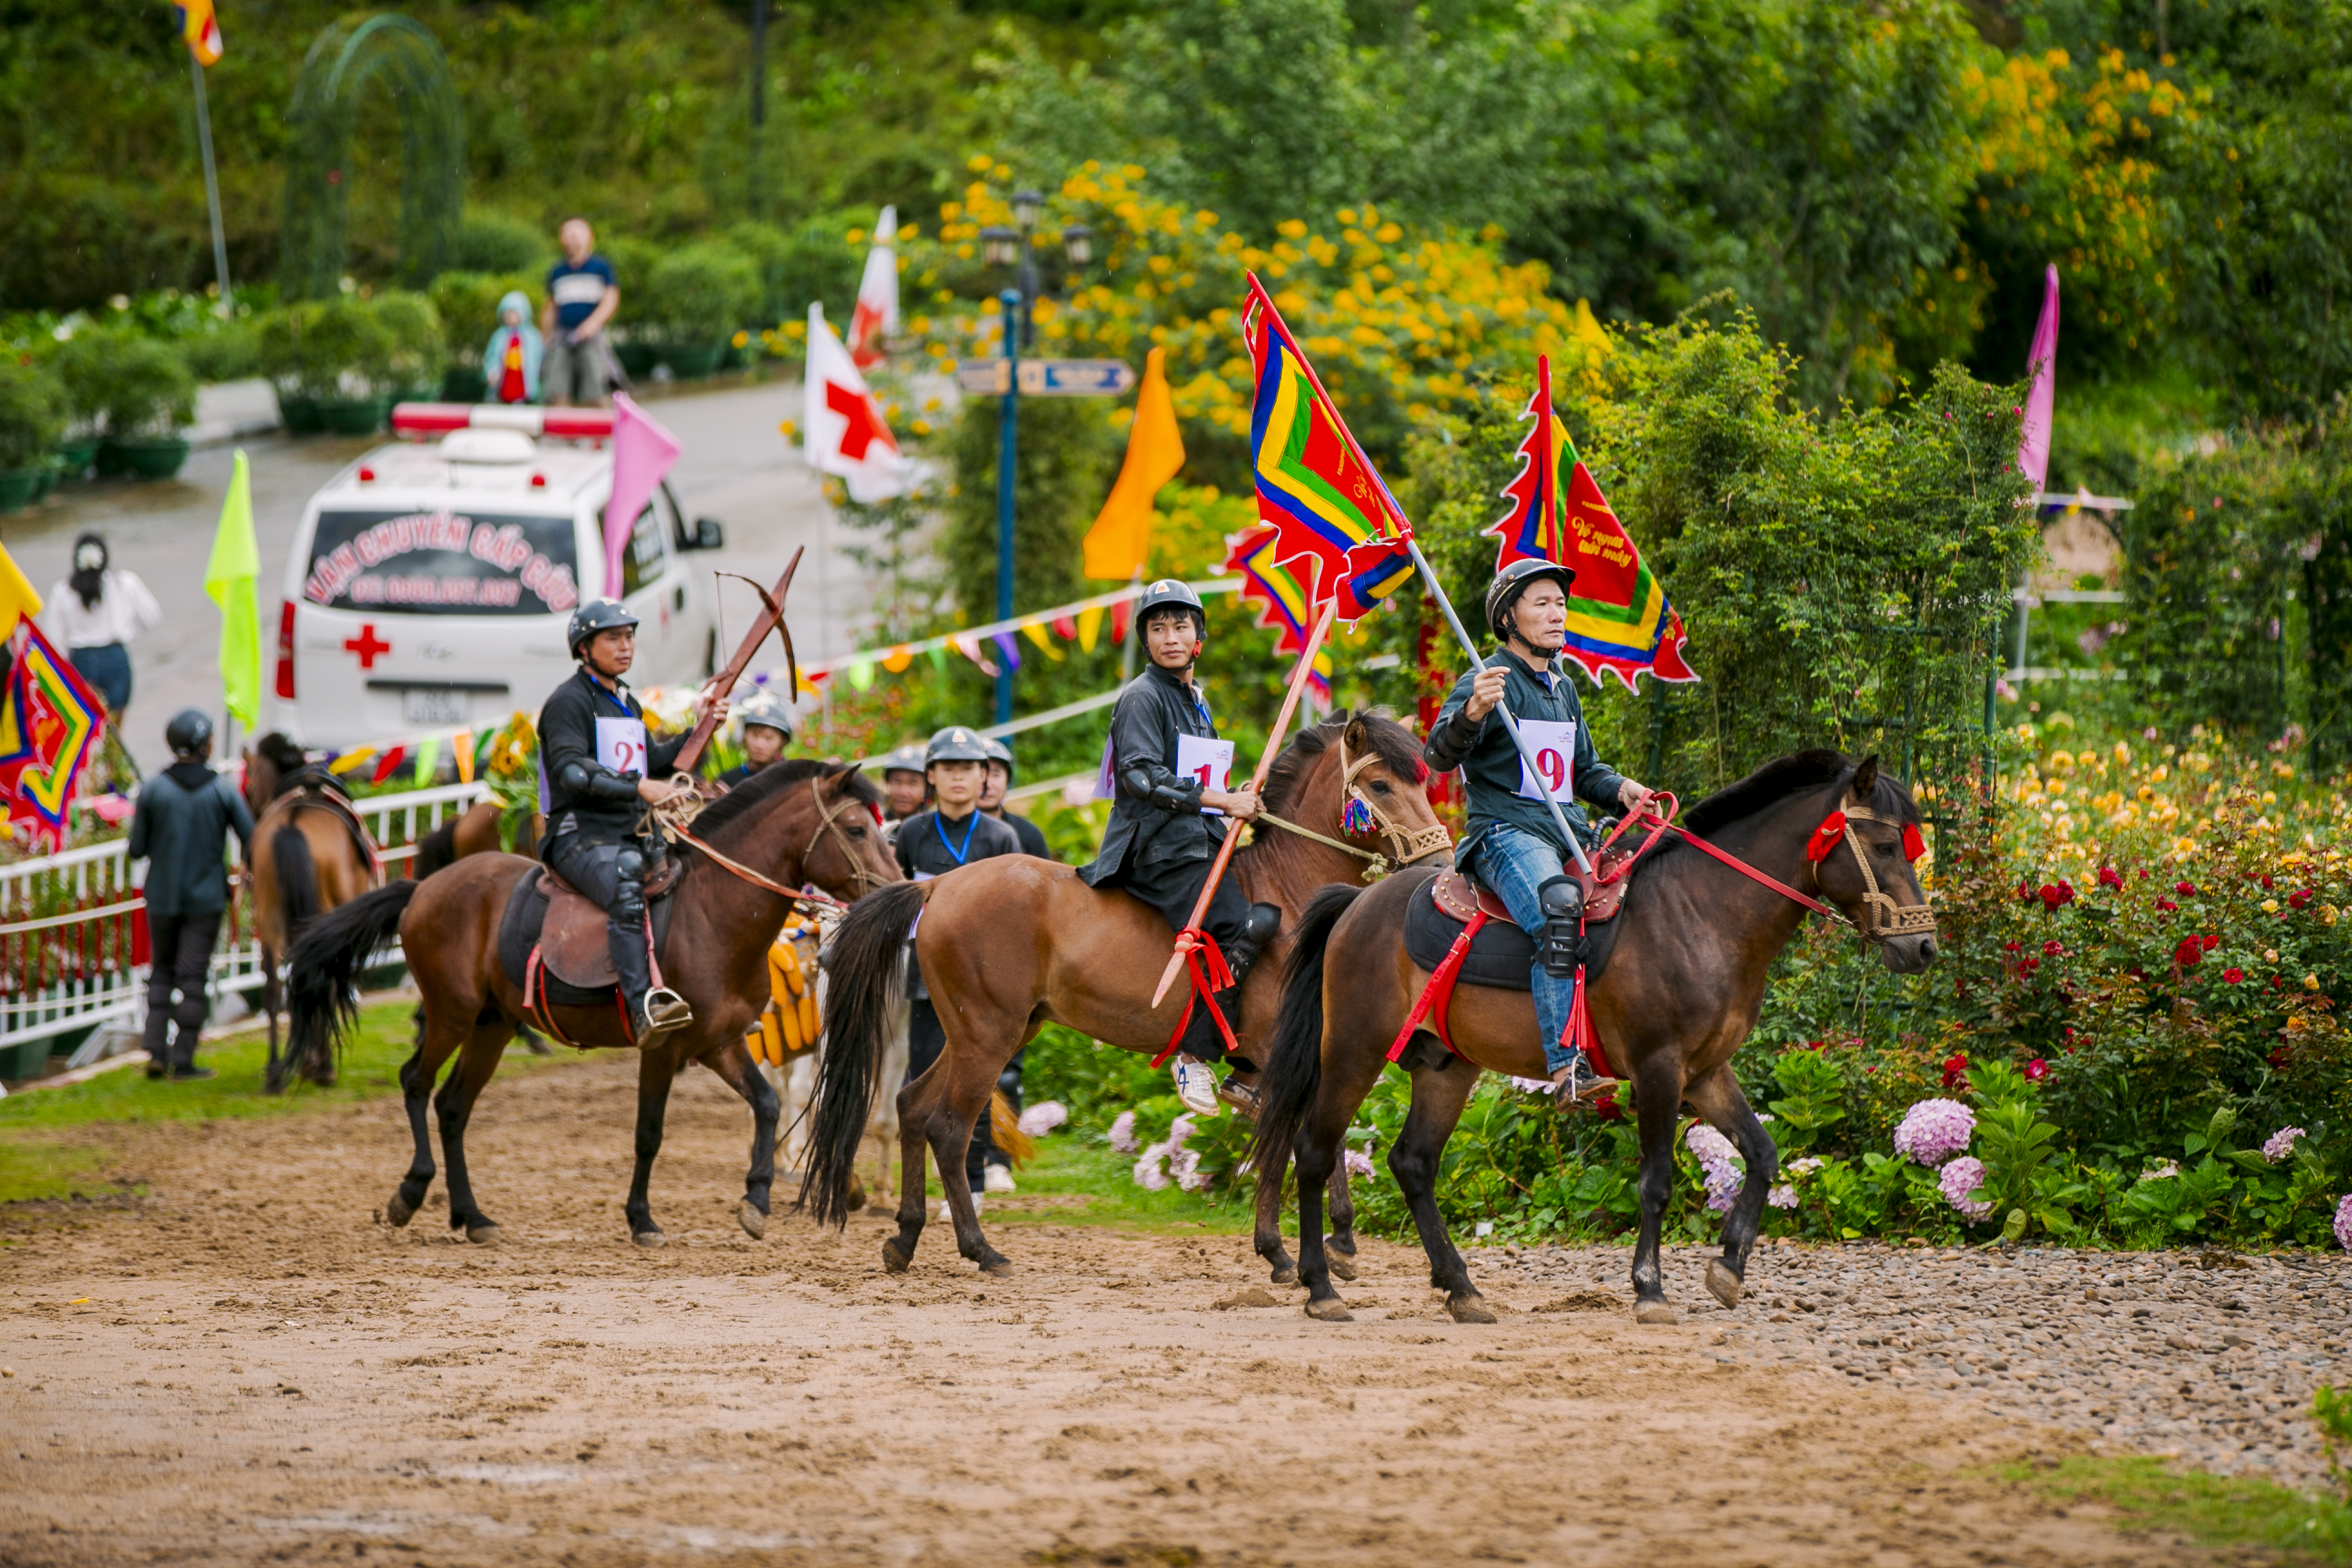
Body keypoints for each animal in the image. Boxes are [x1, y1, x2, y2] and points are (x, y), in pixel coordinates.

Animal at [244, 733, 378, 1091]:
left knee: (274, 990)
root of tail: (293, 825)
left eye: (248, 787)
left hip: (271, 920)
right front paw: (316, 1063)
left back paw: (276, 1073)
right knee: (323, 982)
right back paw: (321, 1067)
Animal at [277, 762, 898, 1250]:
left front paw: (757, 1201)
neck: (712, 912)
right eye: (856, 828)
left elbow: (767, 1106)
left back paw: (472, 1217)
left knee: (453, 1106)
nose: (896, 890)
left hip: (493, 1024)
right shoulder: (663, 1045)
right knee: (415, 1082)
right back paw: (411, 1193)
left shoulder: (718, 1043)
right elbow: (649, 1133)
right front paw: (642, 1219)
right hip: (452, 1014)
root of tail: (423, 889)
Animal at [809, 710, 1449, 1279]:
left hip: (986, 1031)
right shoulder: (1282, 1053)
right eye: (1381, 785)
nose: (1440, 858)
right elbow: (1302, 1137)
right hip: (988, 1037)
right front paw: (1310, 1248)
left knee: (913, 1107)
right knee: (948, 1126)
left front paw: (1310, 1245)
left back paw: (906, 1238)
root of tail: (938, 886)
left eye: (1424, 780)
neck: (1290, 895)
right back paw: (980, 1249)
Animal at [1251, 747, 1929, 1325]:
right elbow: (1656, 1181)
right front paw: (1650, 1289)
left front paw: (1730, 1267)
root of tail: (1357, 903)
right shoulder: (1659, 1069)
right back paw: (1321, 1285)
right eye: (1884, 844)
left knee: (1413, 1162)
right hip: (1353, 1051)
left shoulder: (1707, 1072)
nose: (1922, 946)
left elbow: (1762, 1154)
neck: (1700, 912)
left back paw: (1461, 1288)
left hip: (1447, 1065)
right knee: (1314, 1151)